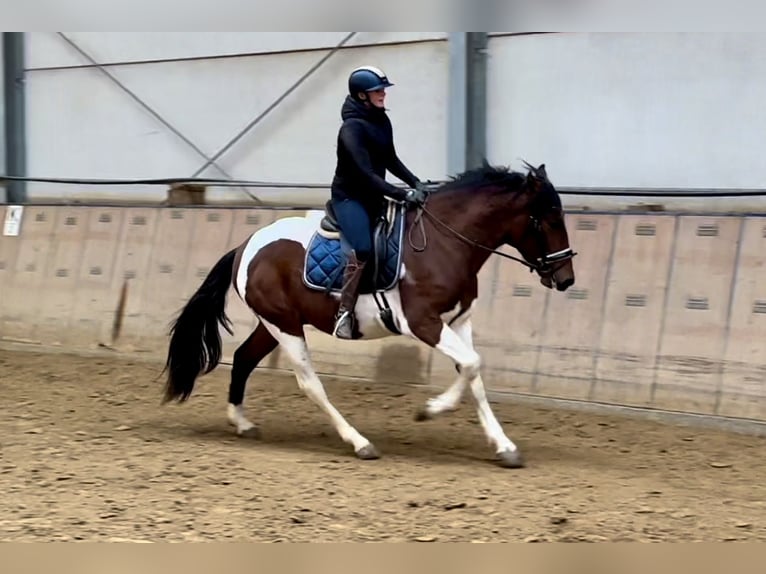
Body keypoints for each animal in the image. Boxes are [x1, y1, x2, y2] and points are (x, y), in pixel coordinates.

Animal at [165, 161, 580, 468]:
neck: (444, 243)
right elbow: (472, 365)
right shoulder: (423, 323)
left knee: (243, 359)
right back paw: (359, 442)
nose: (566, 278)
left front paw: (504, 446)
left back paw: (242, 422)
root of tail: (244, 246)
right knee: (310, 384)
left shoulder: (460, 321)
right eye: (547, 219)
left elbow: (473, 372)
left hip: (275, 324)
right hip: (285, 326)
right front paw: (429, 410)